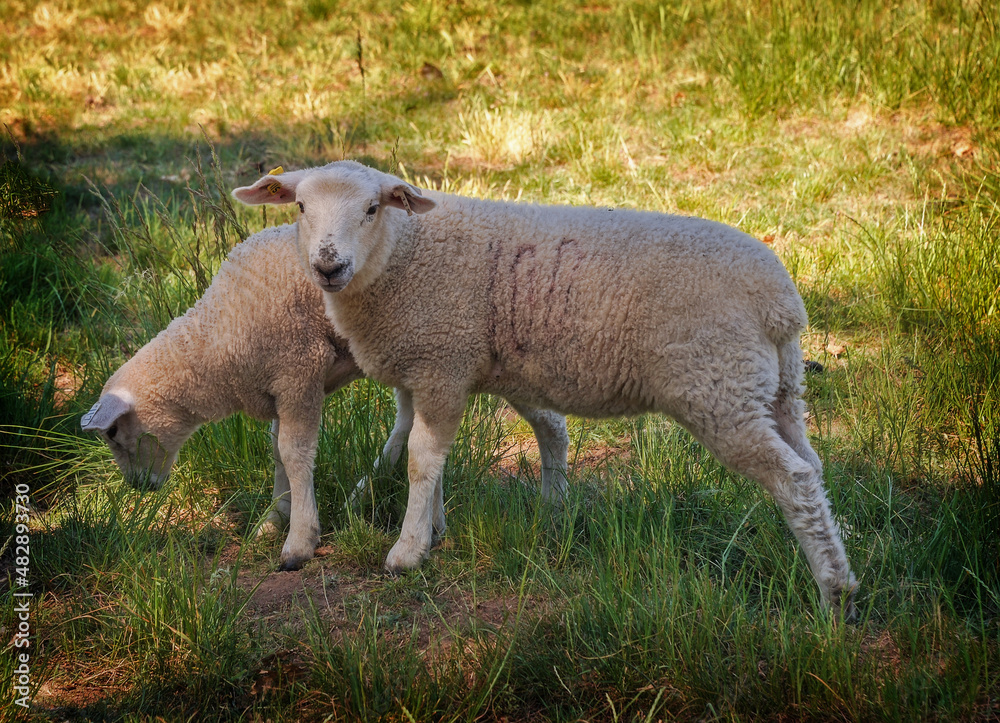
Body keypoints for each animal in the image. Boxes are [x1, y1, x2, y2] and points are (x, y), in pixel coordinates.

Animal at [81, 222, 569, 570]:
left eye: (114, 434)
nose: (138, 488)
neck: (217, 338)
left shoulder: (299, 369)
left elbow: (295, 453)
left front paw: (299, 540)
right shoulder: (278, 388)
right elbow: (276, 452)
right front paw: (274, 519)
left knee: (549, 421)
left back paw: (554, 503)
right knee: (413, 424)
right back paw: (413, 511)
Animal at [231, 160, 857, 615]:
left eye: (370, 208)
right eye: (302, 207)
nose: (327, 265)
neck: (403, 256)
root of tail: (781, 300)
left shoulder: (441, 359)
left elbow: (420, 459)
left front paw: (406, 553)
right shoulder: (428, 367)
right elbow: (423, 454)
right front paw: (433, 531)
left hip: (719, 387)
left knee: (794, 479)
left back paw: (835, 595)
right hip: (776, 389)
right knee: (813, 465)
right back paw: (841, 563)